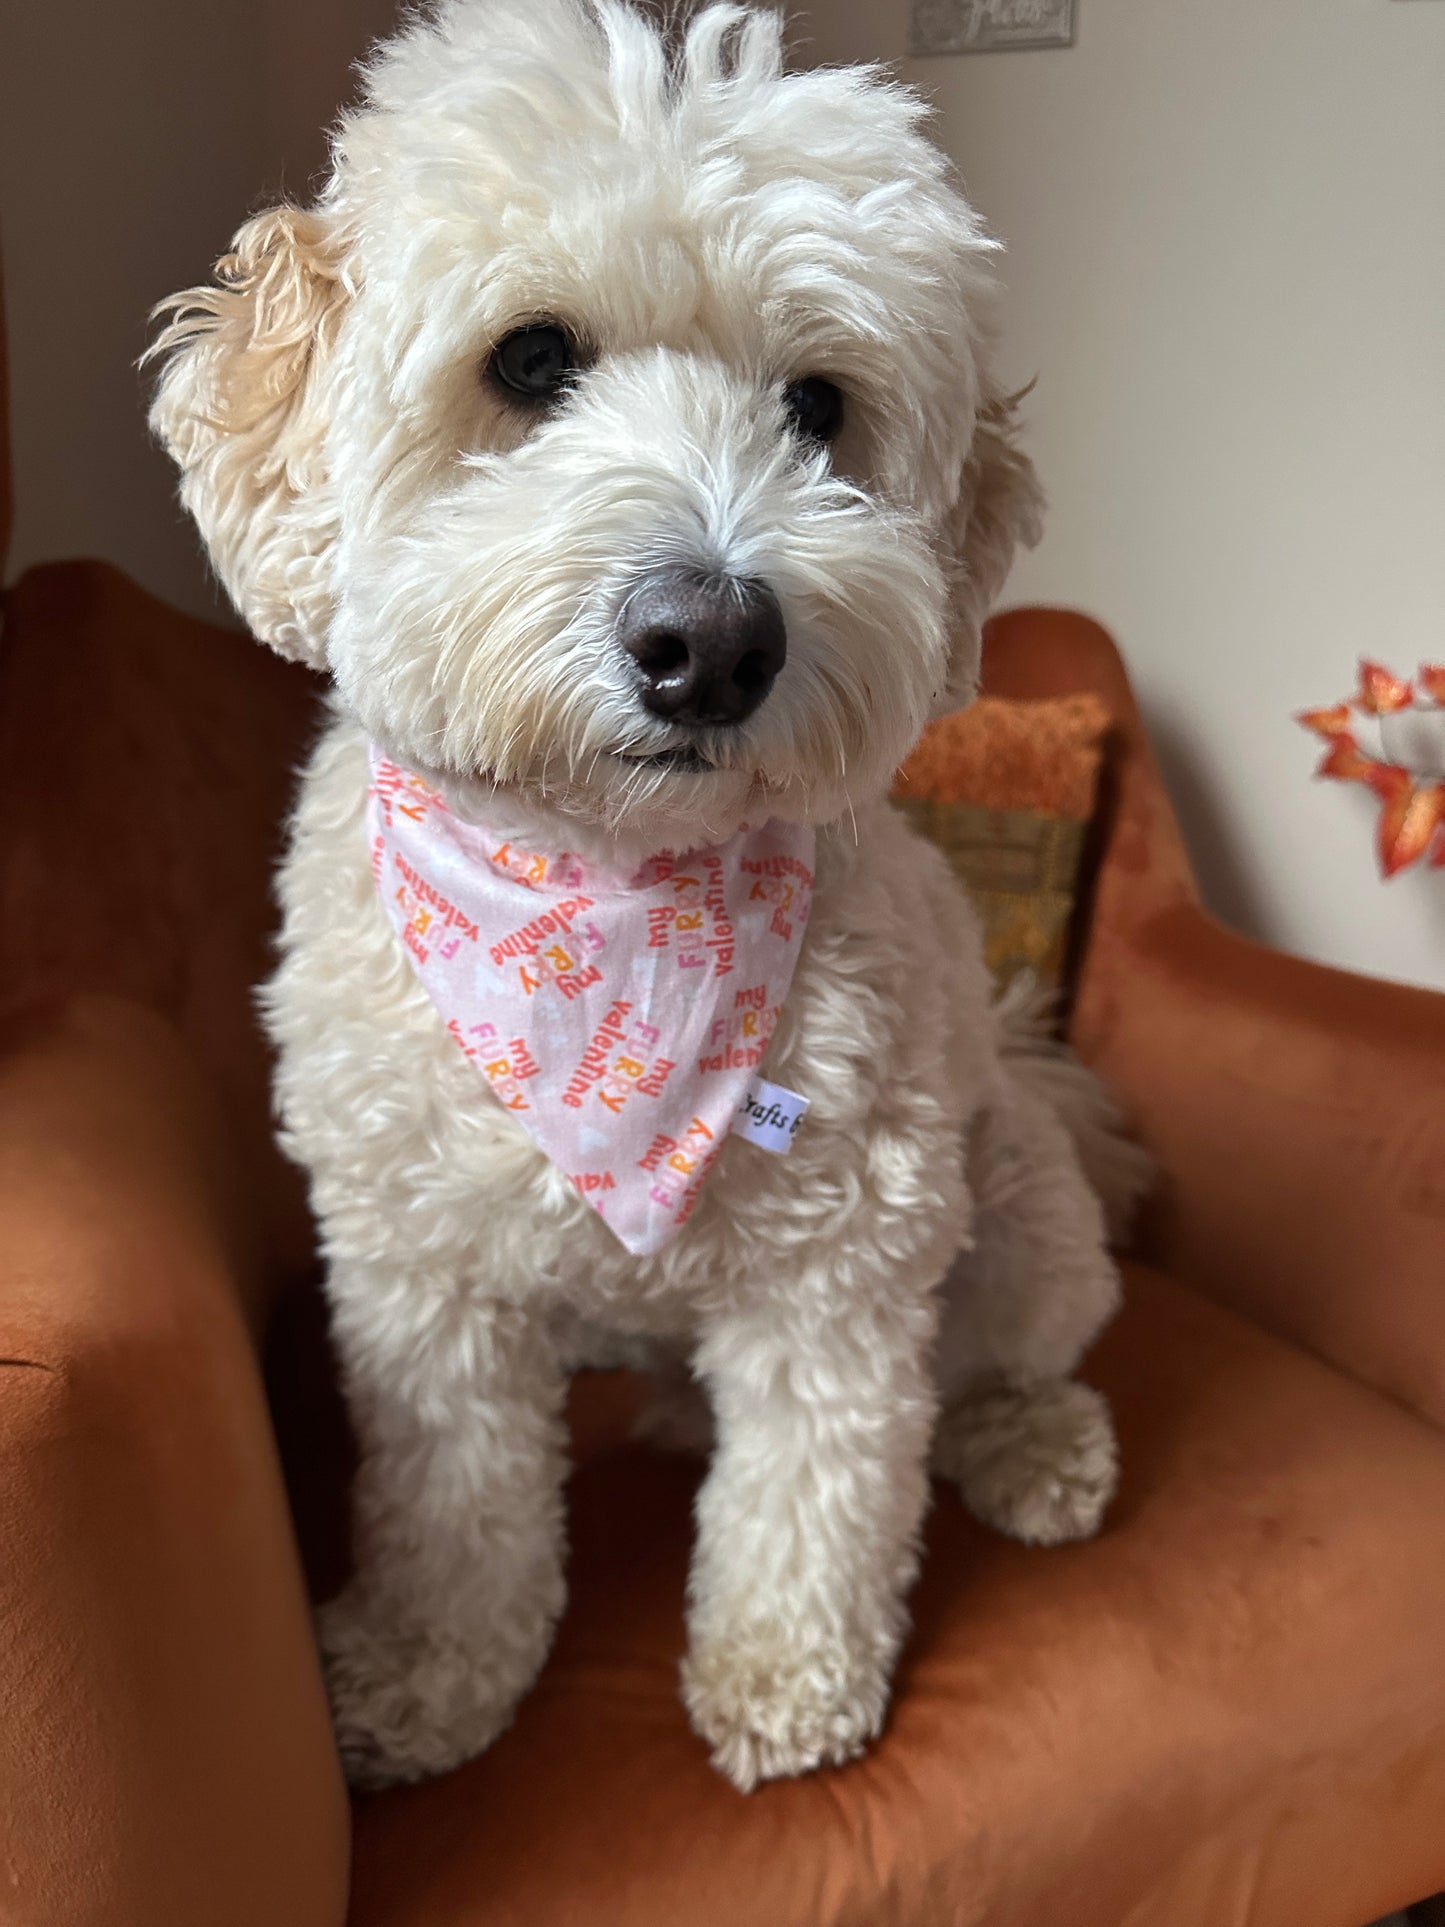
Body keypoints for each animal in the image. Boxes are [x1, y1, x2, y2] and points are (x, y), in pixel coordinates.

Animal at [150, 0, 1140, 1788]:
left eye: (817, 405)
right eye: (531, 360)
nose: (714, 640)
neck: (605, 902)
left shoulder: (841, 1268)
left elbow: (815, 1488)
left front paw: (784, 1679)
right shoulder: (418, 1279)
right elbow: (451, 1498)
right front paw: (422, 1669)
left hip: (1021, 1203)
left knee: (1000, 1354)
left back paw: (1030, 1443)